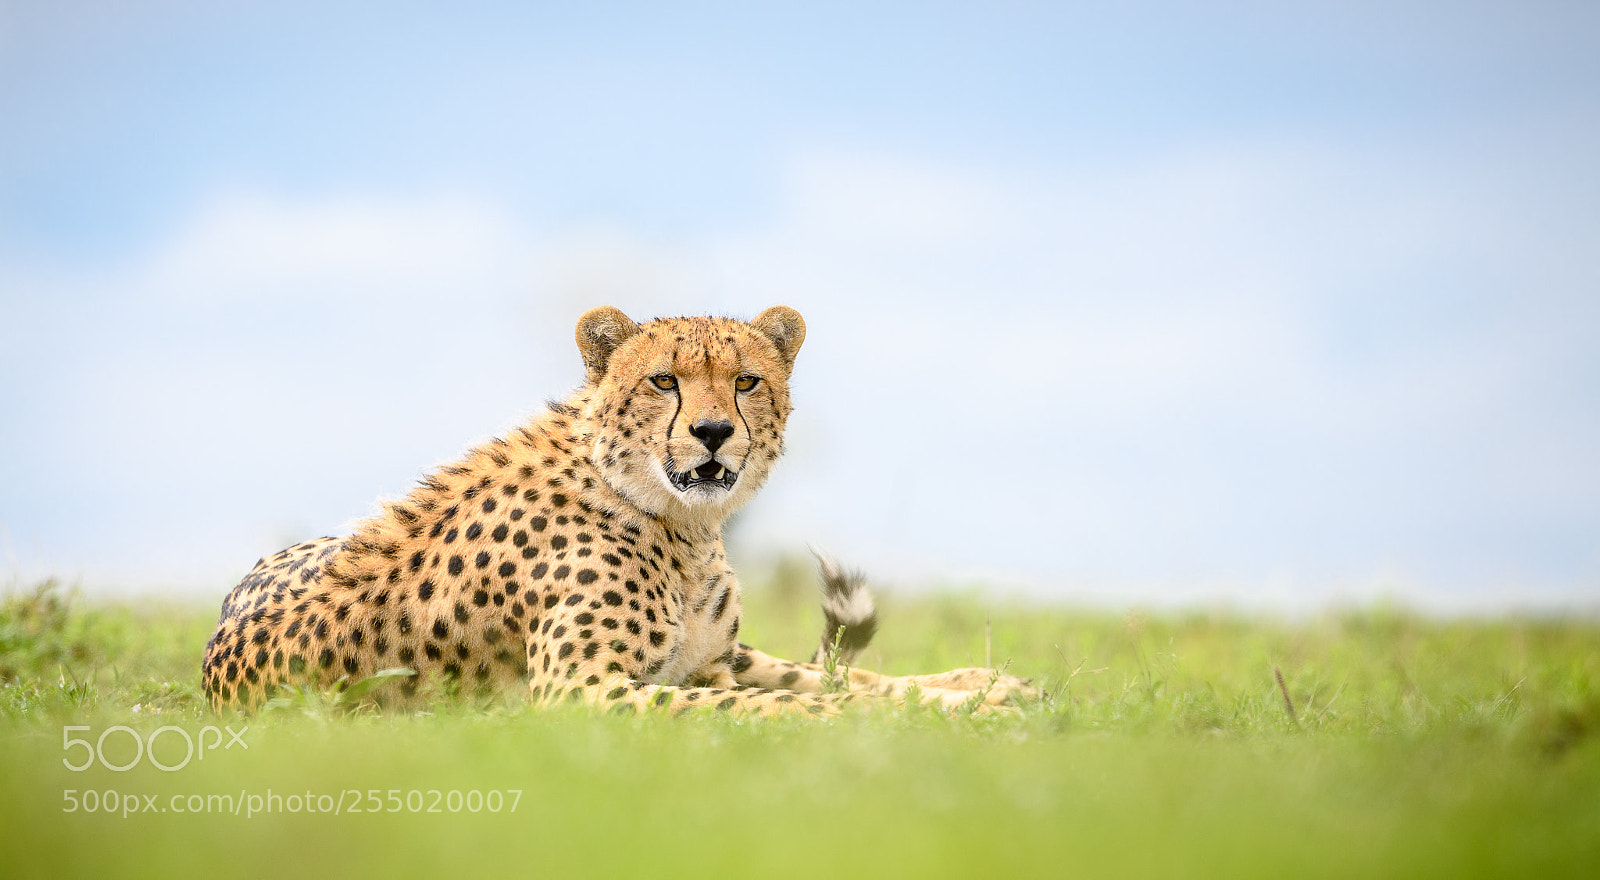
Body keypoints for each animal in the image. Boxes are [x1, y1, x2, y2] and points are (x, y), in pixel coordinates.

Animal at [201, 305, 1033, 716]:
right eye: (665, 381)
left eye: (747, 381)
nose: (712, 431)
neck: (683, 527)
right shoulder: (580, 691)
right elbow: (773, 710)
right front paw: (953, 719)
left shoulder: (710, 665)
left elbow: (822, 684)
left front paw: (976, 698)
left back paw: (987, 681)